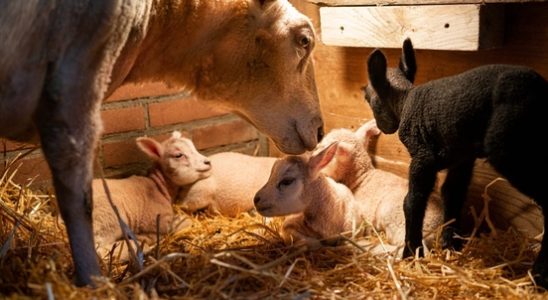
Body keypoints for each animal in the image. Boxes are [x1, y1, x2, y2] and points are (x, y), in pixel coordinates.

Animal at [364, 37, 548, 286]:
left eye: (367, 98)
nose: (381, 128)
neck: (404, 102)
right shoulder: (461, 157)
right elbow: (452, 194)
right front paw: (451, 244)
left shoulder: (422, 156)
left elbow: (412, 202)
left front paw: (411, 252)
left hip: (508, 147)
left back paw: (539, 274)